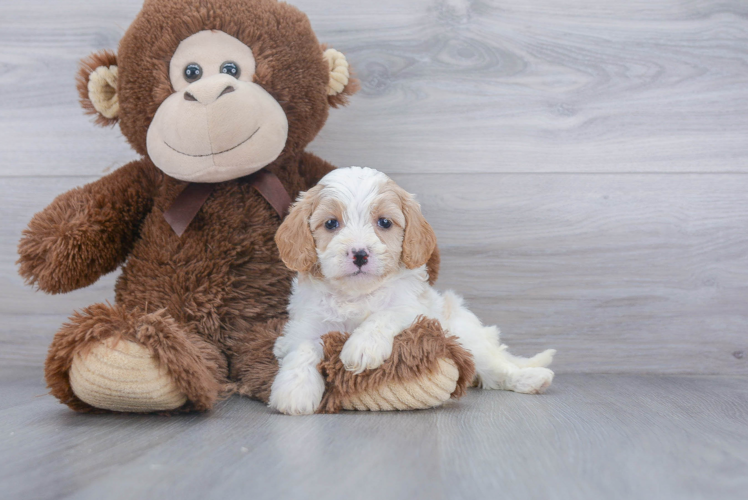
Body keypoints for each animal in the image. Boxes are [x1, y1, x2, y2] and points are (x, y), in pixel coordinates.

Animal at [270, 167, 556, 414]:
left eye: (384, 222)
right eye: (331, 224)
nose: (360, 254)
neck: (358, 294)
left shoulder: (416, 309)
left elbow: (385, 314)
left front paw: (362, 346)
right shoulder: (307, 322)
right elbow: (303, 347)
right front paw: (295, 390)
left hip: (467, 336)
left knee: (496, 370)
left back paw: (530, 378)